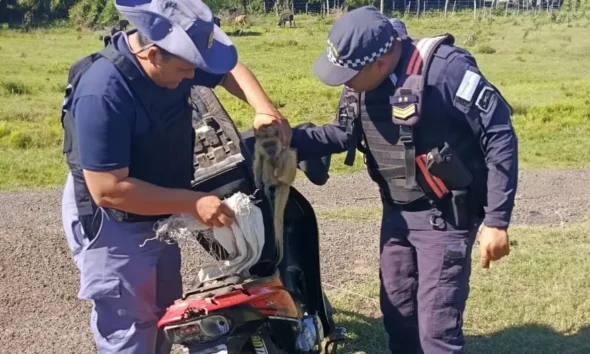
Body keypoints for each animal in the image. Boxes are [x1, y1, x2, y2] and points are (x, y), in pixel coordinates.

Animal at [256, 123, 300, 264]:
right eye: (266, 145)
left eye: (272, 143)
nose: (270, 149)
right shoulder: (257, 147)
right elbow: (258, 161)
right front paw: (257, 182)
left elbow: (286, 152)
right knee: (266, 161)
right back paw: (270, 183)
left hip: (288, 176)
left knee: (287, 154)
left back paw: (280, 173)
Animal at [294, 6, 520, 354]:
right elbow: (341, 132)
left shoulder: (456, 71)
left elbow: (496, 133)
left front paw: (495, 234)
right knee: (400, 310)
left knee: (435, 322)